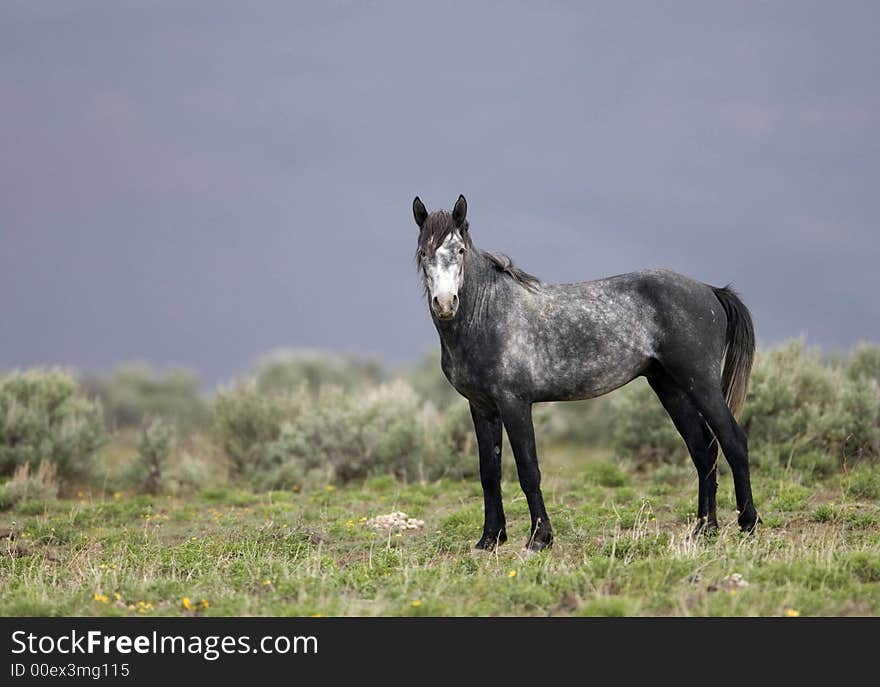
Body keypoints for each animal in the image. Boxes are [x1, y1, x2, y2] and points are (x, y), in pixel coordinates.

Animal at [412, 195, 756, 552]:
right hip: (671, 388)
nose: (445, 303)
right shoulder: (482, 407)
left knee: (733, 441)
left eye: (459, 250)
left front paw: (540, 538)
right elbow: (489, 473)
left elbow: (528, 470)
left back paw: (747, 523)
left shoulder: (514, 404)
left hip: (700, 383)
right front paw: (490, 538)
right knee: (703, 451)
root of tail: (710, 290)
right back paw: (704, 529)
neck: (489, 314)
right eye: (423, 252)